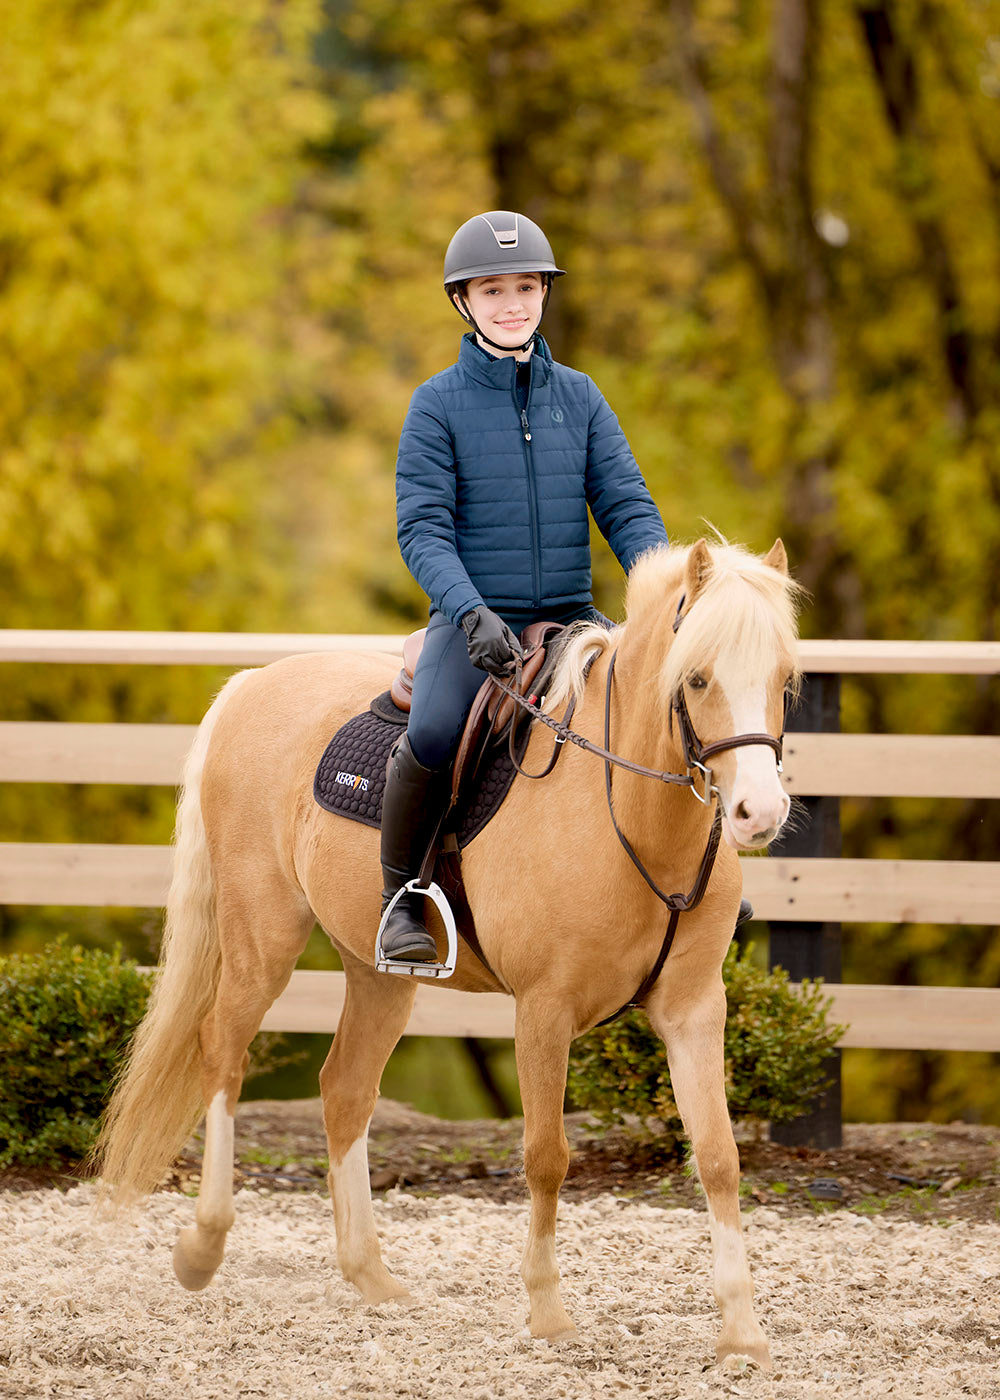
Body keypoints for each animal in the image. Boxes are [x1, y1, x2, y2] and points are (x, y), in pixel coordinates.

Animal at [96, 537, 801, 1370]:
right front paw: (548, 1313)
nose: (760, 813)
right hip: (260, 940)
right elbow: (547, 1155)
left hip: (377, 974)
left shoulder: (694, 1009)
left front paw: (743, 1331)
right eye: (696, 678)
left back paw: (372, 1278)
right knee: (223, 1061)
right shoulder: (544, 1010)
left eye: (784, 678)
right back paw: (202, 1248)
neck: (627, 811)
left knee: (345, 1092)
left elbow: (719, 1156)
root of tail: (253, 684)